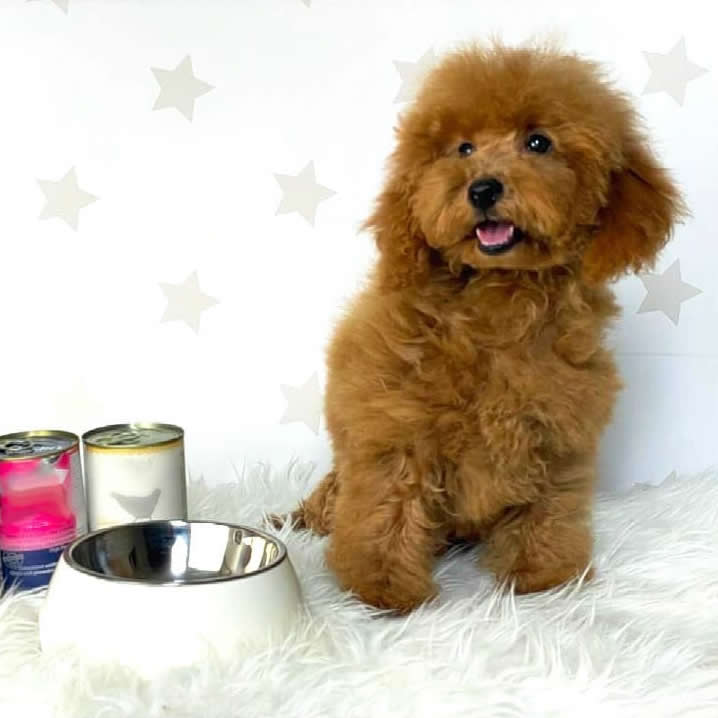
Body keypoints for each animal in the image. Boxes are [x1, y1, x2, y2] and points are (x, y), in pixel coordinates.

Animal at [279, 43, 685, 612]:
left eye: (538, 142)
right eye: (463, 149)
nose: (483, 188)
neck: (498, 301)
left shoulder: (556, 431)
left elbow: (549, 510)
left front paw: (544, 576)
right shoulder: (395, 425)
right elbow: (388, 507)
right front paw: (380, 589)